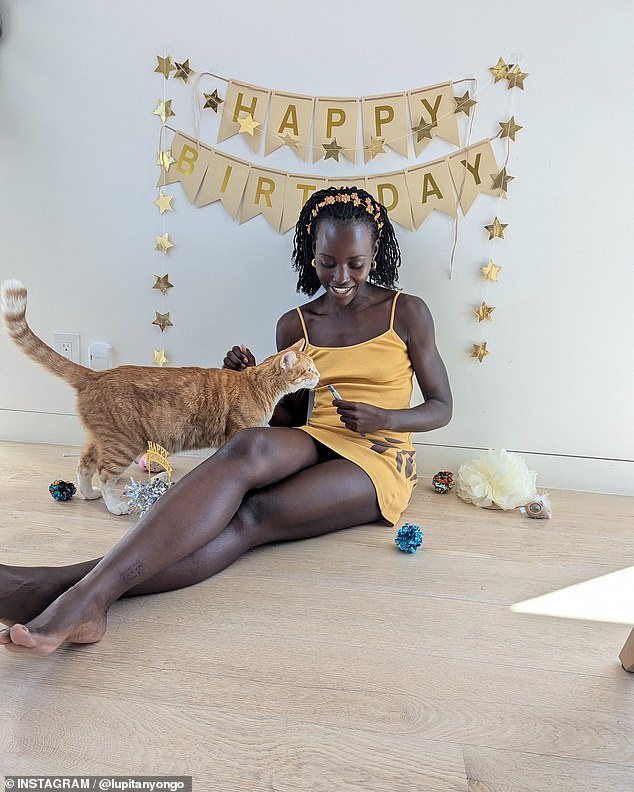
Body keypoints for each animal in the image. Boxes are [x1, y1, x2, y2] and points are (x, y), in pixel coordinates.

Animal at [0, 282, 316, 516]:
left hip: (99, 439)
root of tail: (95, 375)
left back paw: (88, 494)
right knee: (105, 475)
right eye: (310, 369)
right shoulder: (237, 434)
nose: (319, 375)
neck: (257, 384)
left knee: (83, 466)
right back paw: (116, 506)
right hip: (123, 443)